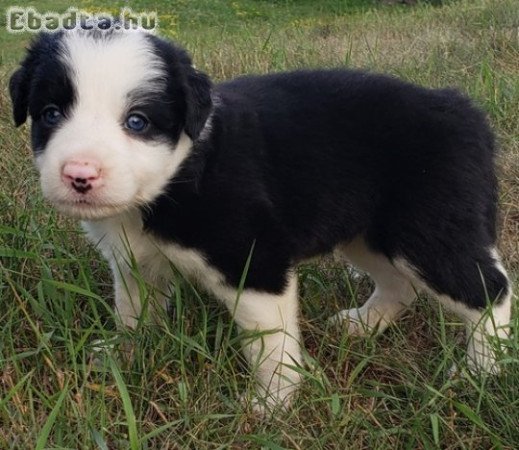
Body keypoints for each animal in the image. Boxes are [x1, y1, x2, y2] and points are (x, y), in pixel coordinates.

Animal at [10, 26, 512, 410]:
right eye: (50, 114)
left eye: (137, 121)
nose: (79, 174)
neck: (178, 175)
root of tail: (463, 109)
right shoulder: (136, 262)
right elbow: (134, 310)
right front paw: (125, 354)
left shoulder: (254, 262)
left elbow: (271, 343)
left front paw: (270, 406)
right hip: (368, 233)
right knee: (400, 284)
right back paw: (361, 325)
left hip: (429, 229)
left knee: (491, 290)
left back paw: (479, 373)